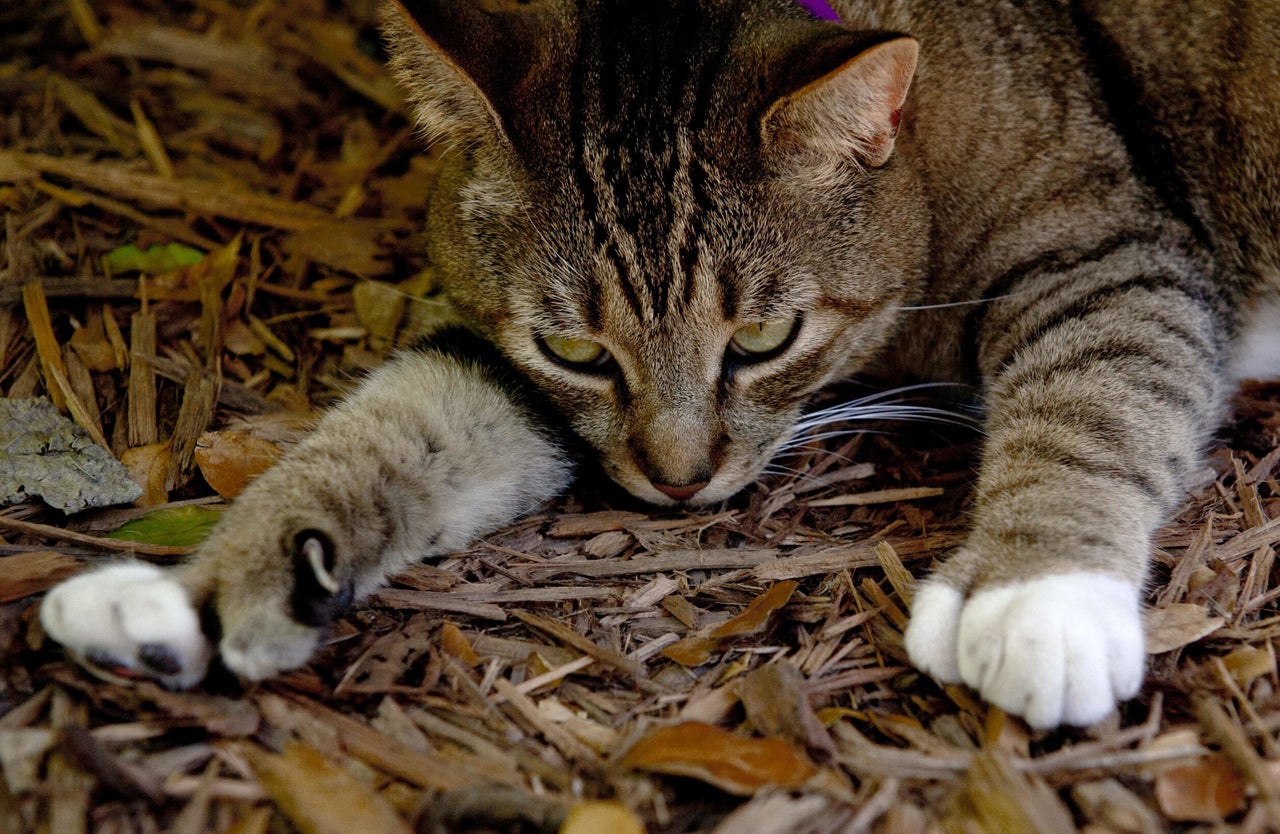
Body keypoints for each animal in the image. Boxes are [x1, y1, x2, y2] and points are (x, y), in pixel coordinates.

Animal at [42, 0, 1280, 731]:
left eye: (762, 341)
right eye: (576, 351)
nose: (678, 483)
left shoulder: (1109, 254)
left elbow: (1093, 398)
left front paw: (1037, 595)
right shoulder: (517, 374)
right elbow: (398, 424)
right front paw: (198, 591)